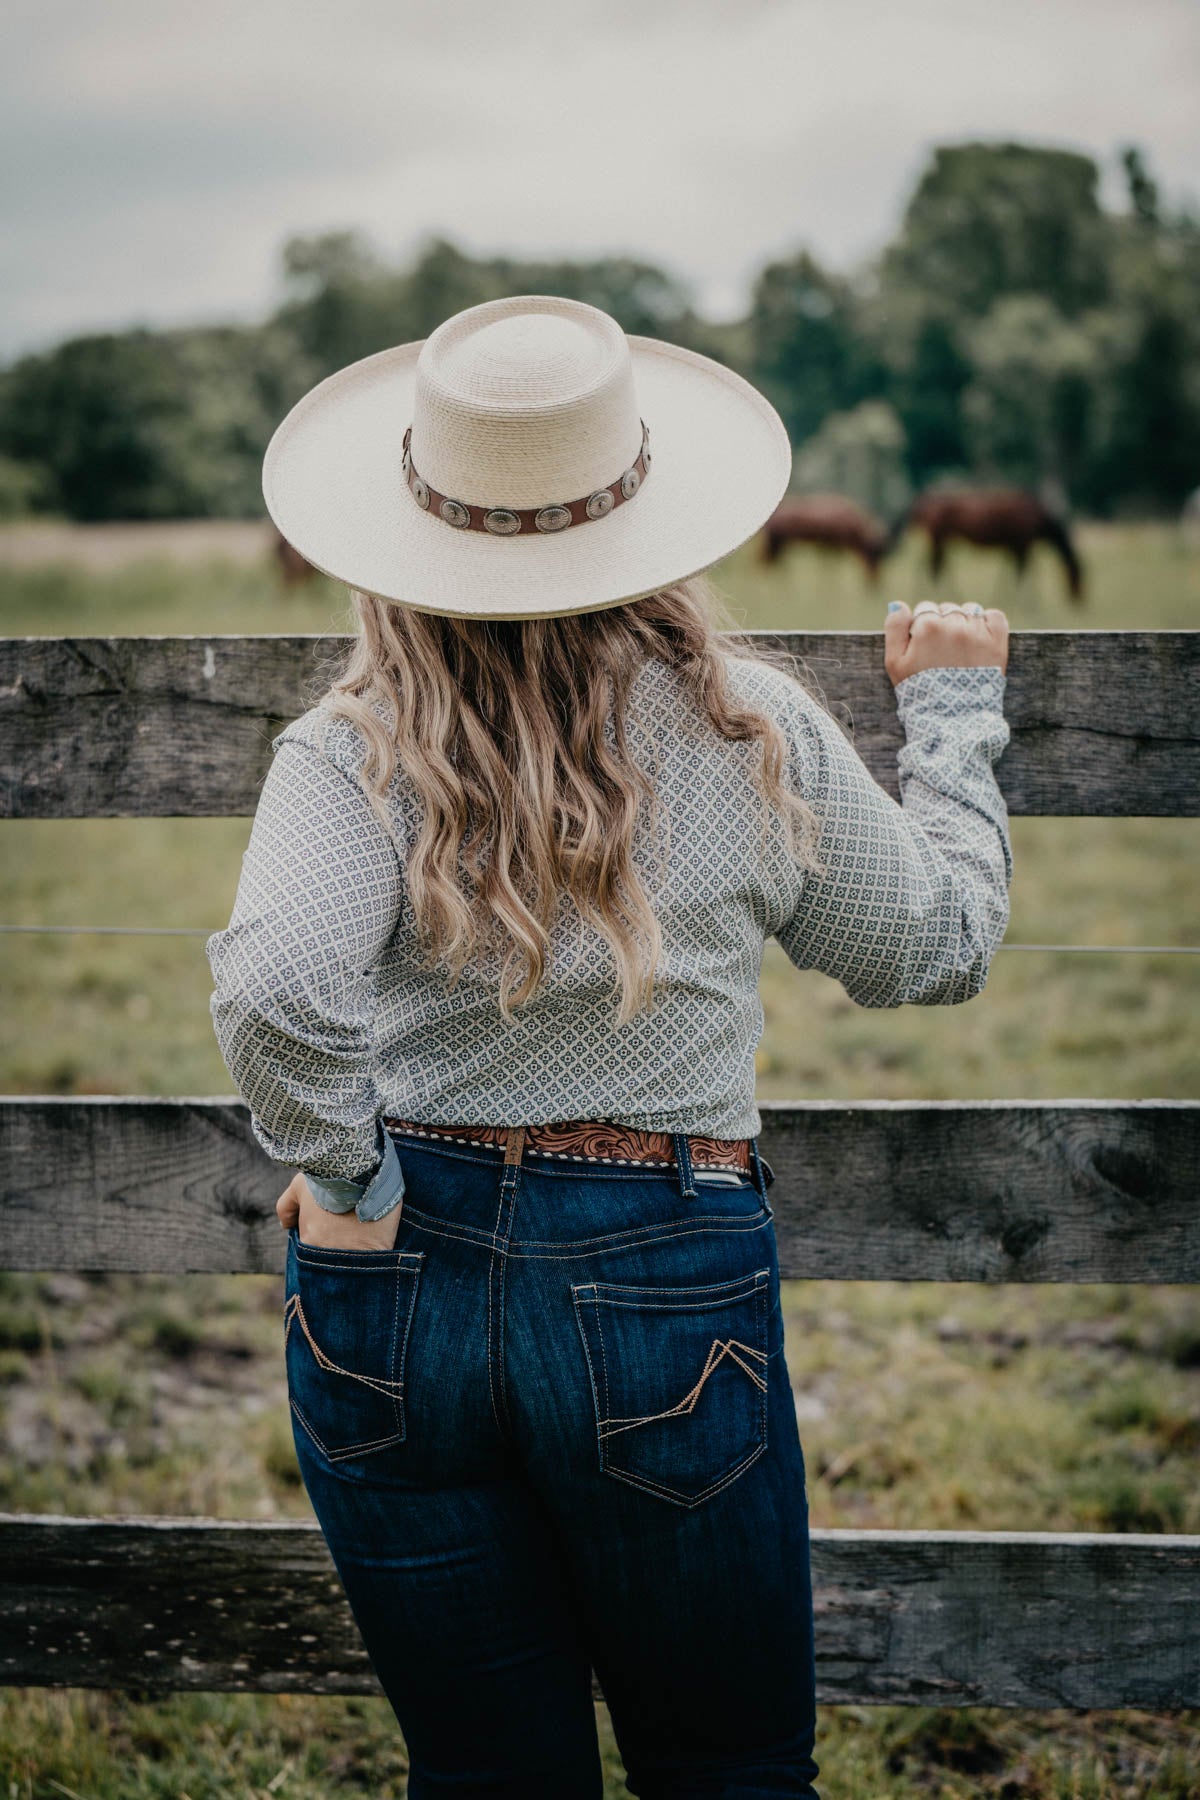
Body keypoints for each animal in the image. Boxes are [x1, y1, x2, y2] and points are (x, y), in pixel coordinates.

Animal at [759, 493, 892, 576]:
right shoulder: (831, 546)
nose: (876, 580)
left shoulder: (827, 547)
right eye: (873, 553)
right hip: (776, 544)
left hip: (779, 546)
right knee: (766, 564)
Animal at [892, 489, 1086, 601]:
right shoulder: (1021, 544)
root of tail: (922, 501)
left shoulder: (1013, 546)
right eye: (1077, 576)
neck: (1039, 517)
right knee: (935, 567)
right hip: (939, 538)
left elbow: (1010, 573)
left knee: (933, 565)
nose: (1078, 599)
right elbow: (1023, 573)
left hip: (940, 540)